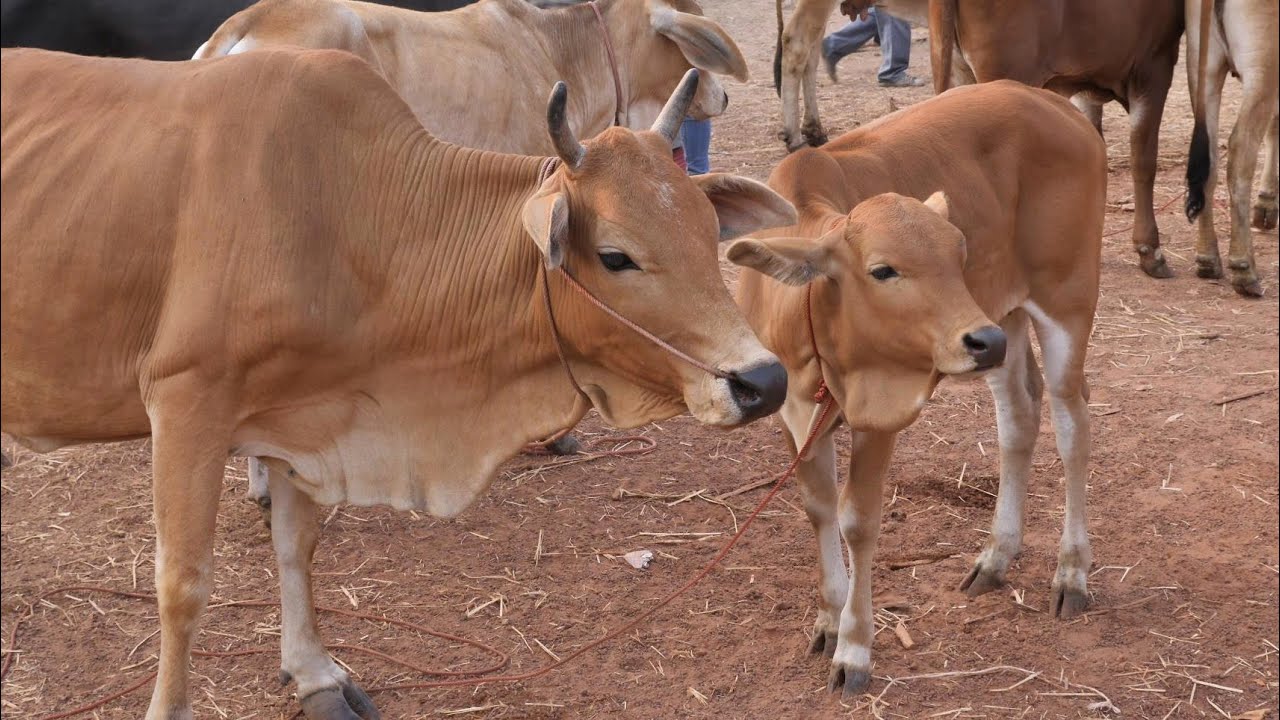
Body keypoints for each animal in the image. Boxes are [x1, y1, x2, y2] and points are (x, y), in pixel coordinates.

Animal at [1, 48, 798, 719]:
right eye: (615, 256)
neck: (353, 220)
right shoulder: (186, 401)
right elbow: (182, 585)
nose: (762, 381)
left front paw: (316, 676)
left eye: (706, 229)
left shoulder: (303, 415)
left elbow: (297, 548)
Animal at [727, 80, 1105, 696]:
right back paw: (996, 556)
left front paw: (854, 647)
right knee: (1020, 416)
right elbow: (817, 507)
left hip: (1063, 302)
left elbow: (858, 519)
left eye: (959, 255)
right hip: (1005, 314)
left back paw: (1071, 571)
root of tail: (1054, 104)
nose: (981, 339)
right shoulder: (794, 413)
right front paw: (829, 620)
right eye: (883, 270)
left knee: (1073, 426)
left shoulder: (882, 411)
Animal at [1184, 0, 1279, 297]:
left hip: (1202, 65)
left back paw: (1207, 259)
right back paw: (1243, 267)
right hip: (1262, 65)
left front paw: (1266, 206)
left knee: (1210, 159)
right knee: (1240, 153)